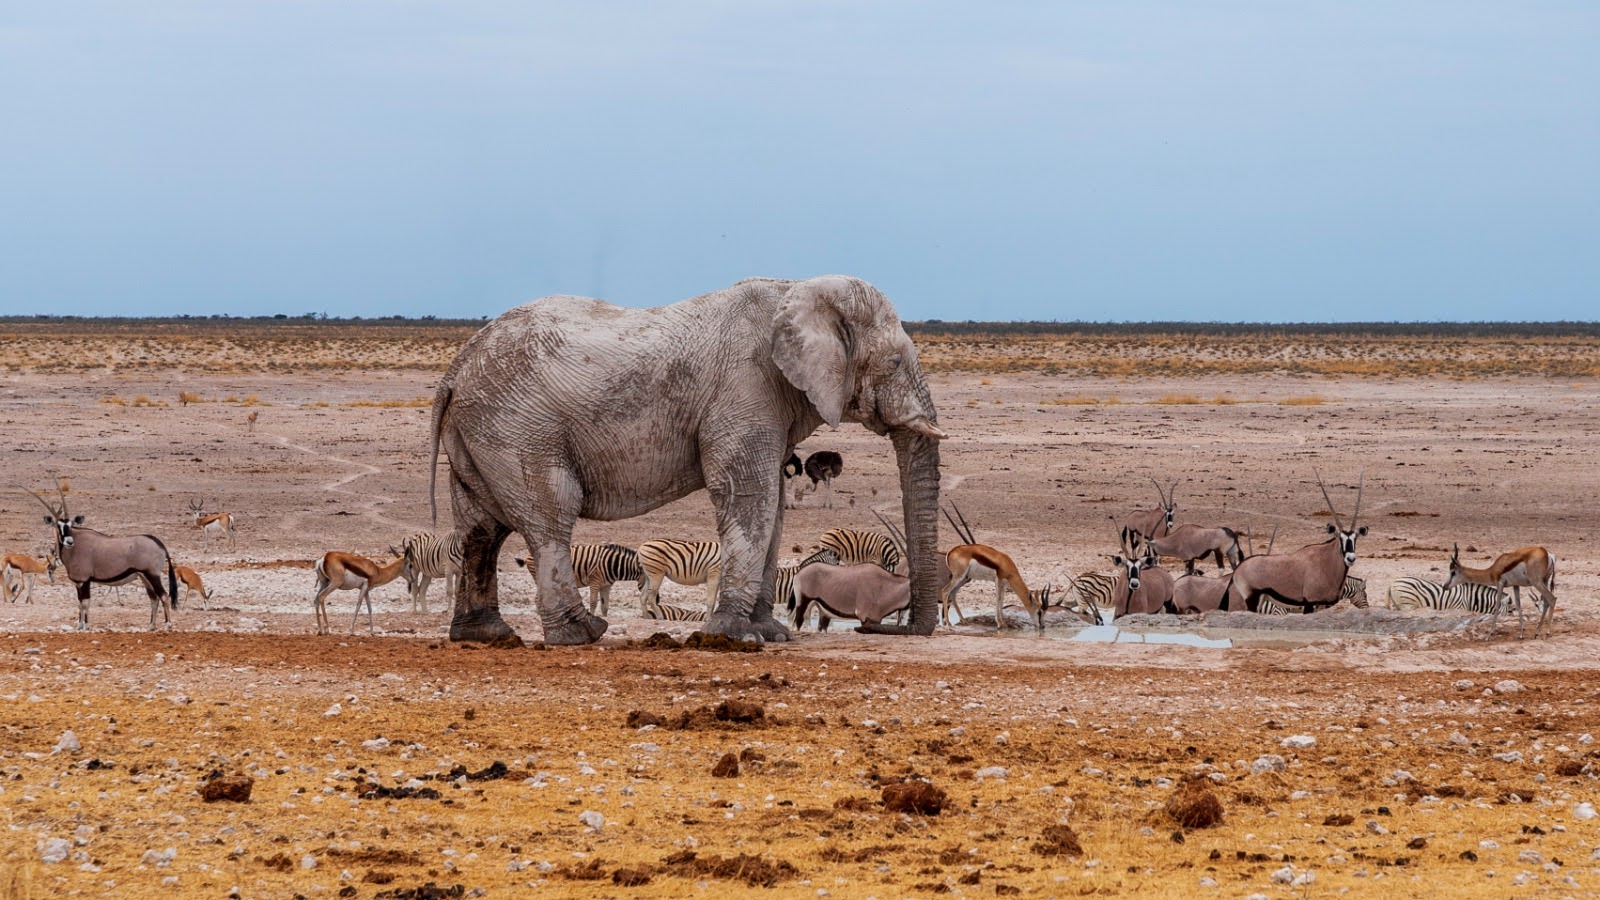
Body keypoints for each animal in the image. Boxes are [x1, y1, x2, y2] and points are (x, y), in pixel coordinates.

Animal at [20, 477, 177, 630]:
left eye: (70, 525)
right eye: (59, 526)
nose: (69, 541)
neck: (75, 547)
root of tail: (159, 543)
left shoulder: (85, 580)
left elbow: (85, 602)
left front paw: (86, 626)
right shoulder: (78, 583)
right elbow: (79, 602)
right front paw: (79, 625)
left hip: (152, 575)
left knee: (164, 596)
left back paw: (168, 625)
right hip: (144, 577)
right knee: (154, 598)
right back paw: (151, 626)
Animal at [428, 275, 947, 643]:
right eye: (895, 363)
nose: (896, 627)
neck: (794, 288)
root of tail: (455, 370)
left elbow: (774, 505)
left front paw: (770, 634)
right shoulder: (744, 390)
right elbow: (748, 494)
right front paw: (734, 637)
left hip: (481, 433)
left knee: (481, 528)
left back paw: (484, 635)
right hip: (519, 429)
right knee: (549, 518)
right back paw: (581, 635)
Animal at [1222, 470, 1363, 608]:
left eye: (1355, 539)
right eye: (1340, 539)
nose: (1351, 558)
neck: (1327, 560)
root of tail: (1238, 569)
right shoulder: (1309, 603)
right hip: (1252, 599)